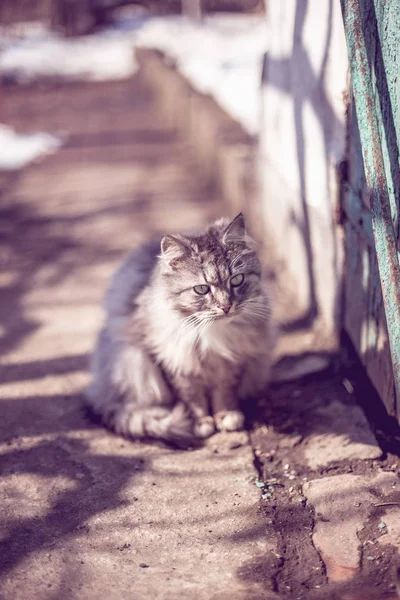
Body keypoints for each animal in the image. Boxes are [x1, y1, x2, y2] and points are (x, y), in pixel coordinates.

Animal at [85, 214, 276, 446]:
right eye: (201, 289)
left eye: (237, 280)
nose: (226, 306)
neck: (211, 333)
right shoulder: (174, 362)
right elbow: (192, 400)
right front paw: (201, 423)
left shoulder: (232, 363)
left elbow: (223, 394)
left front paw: (226, 416)